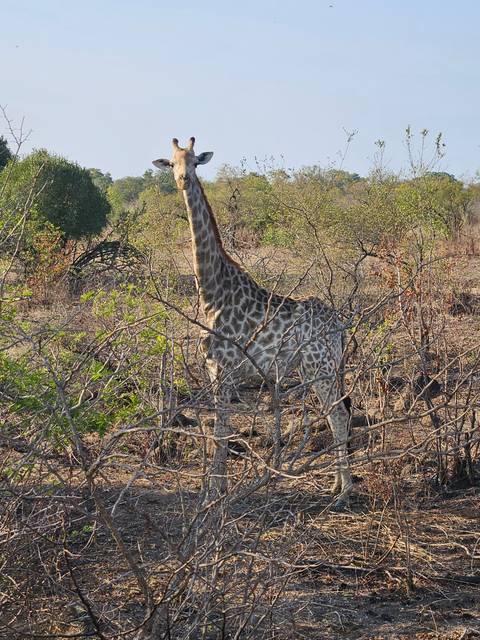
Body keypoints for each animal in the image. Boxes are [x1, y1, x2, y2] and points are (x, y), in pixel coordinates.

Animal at [153, 137, 353, 506]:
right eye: (172, 162)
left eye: (195, 161)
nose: (183, 179)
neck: (212, 292)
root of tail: (340, 327)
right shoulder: (214, 370)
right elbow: (218, 430)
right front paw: (216, 490)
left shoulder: (224, 369)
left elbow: (219, 430)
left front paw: (213, 495)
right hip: (321, 367)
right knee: (336, 414)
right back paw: (335, 485)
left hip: (320, 366)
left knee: (339, 414)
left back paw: (345, 492)